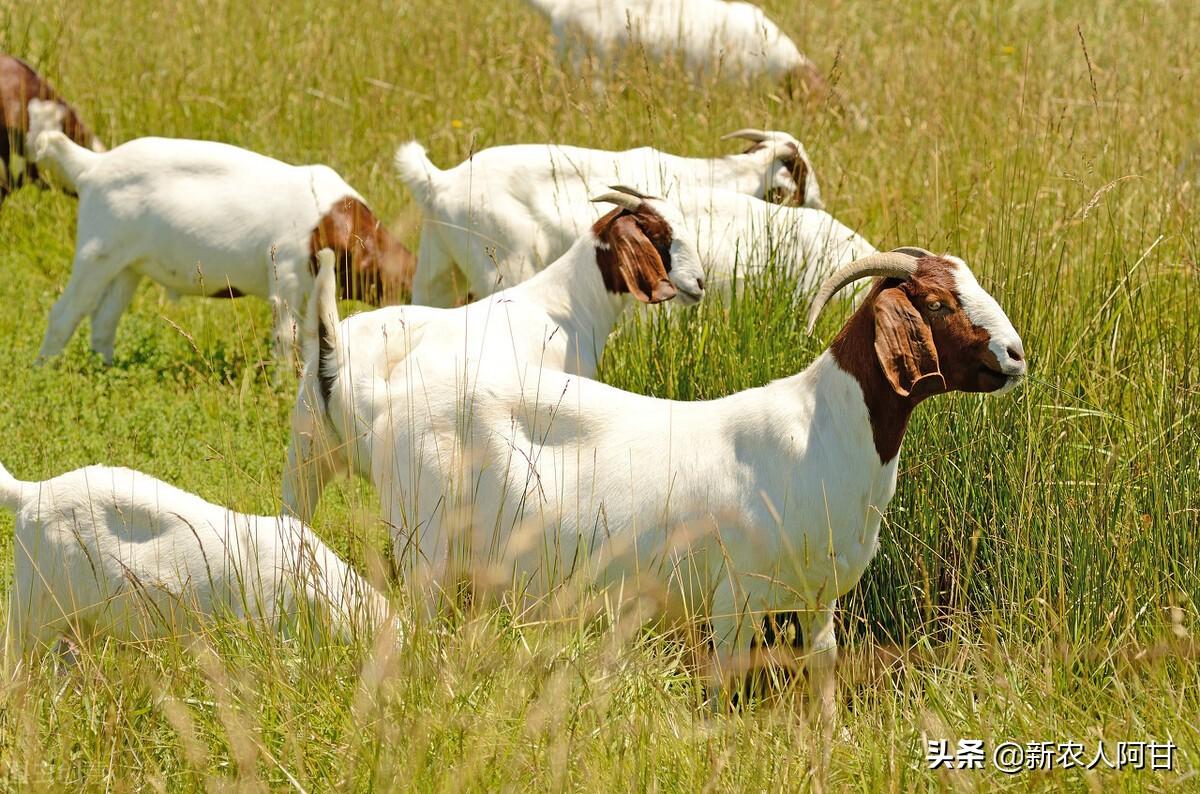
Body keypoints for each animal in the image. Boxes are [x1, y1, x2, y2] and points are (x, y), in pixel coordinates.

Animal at [34, 131, 417, 367]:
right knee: (64, 313)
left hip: (128, 266)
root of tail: (92, 165)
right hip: (96, 252)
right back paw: (43, 371)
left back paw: (107, 369)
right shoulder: (286, 278)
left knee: (104, 320)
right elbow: (285, 338)